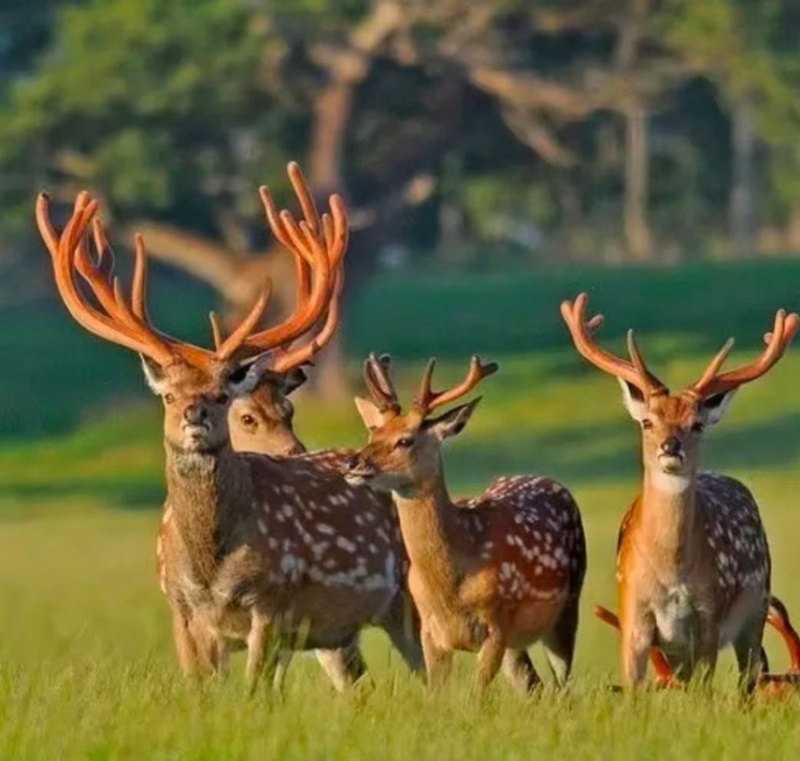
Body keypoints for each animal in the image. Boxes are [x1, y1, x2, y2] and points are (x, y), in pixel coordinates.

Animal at [35, 174, 423, 695]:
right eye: (168, 395)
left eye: (222, 394)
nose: (194, 415)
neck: (211, 569)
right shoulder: (182, 612)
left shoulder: (271, 604)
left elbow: (257, 691)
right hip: (335, 636)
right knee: (360, 688)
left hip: (411, 596)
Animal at [343, 353, 587, 693]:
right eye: (372, 432)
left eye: (405, 440)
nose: (352, 463)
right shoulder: (430, 632)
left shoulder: (496, 625)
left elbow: (476, 696)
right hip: (517, 643)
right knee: (533, 686)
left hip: (567, 607)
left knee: (562, 684)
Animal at [560, 292, 799, 691]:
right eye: (647, 421)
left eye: (697, 424)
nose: (670, 447)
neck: (670, 572)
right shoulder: (635, 616)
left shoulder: (707, 619)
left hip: (755, 611)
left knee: (750, 678)